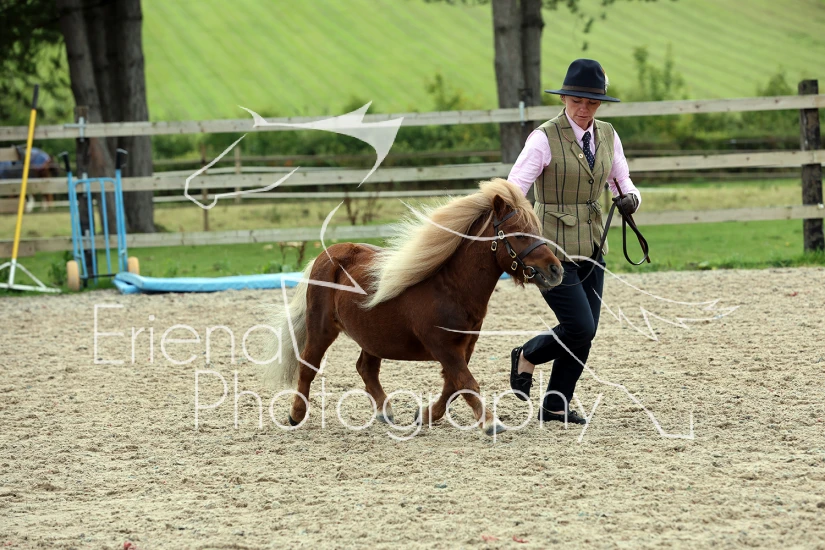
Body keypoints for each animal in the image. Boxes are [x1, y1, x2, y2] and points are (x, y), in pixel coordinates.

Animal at [266, 178, 564, 436]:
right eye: (520, 234)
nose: (556, 270)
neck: (449, 288)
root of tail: (327, 255)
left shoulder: (464, 347)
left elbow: (453, 386)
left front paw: (425, 415)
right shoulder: (444, 347)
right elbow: (466, 383)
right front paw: (491, 422)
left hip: (373, 337)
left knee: (366, 369)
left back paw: (385, 411)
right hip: (322, 329)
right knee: (308, 366)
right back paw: (296, 414)